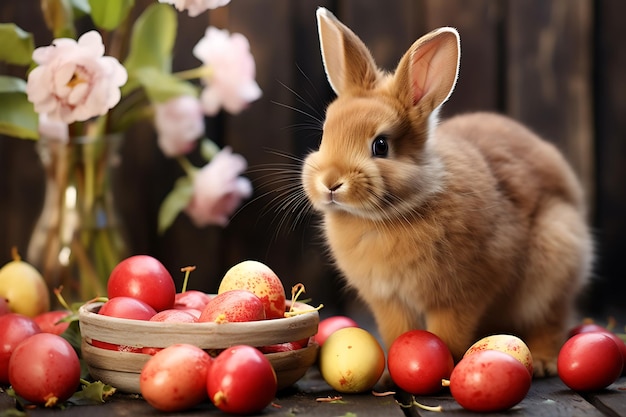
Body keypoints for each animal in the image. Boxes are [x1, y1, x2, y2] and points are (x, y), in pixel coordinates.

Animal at [302, 7, 588, 376]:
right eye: (326, 134)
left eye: (381, 145)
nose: (330, 182)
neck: (388, 216)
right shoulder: (389, 301)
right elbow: (399, 332)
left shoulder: (461, 297)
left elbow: (447, 335)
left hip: (556, 254)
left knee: (551, 318)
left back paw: (540, 361)